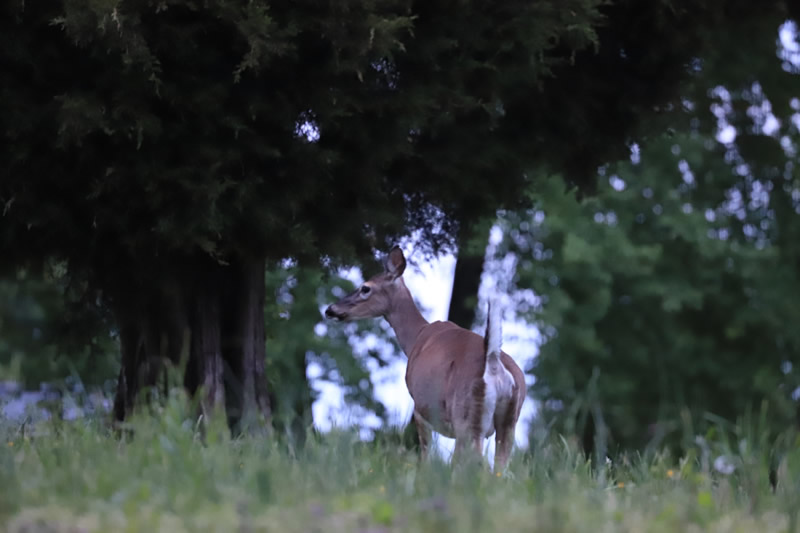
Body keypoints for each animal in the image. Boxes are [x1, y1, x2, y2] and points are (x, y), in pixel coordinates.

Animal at [322, 245, 528, 470]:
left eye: (365, 288)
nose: (330, 309)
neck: (416, 336)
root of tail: (493, 363)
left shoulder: (419, 408)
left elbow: (425, 457)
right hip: (509, 421)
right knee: (498, 467)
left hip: (466, 416)